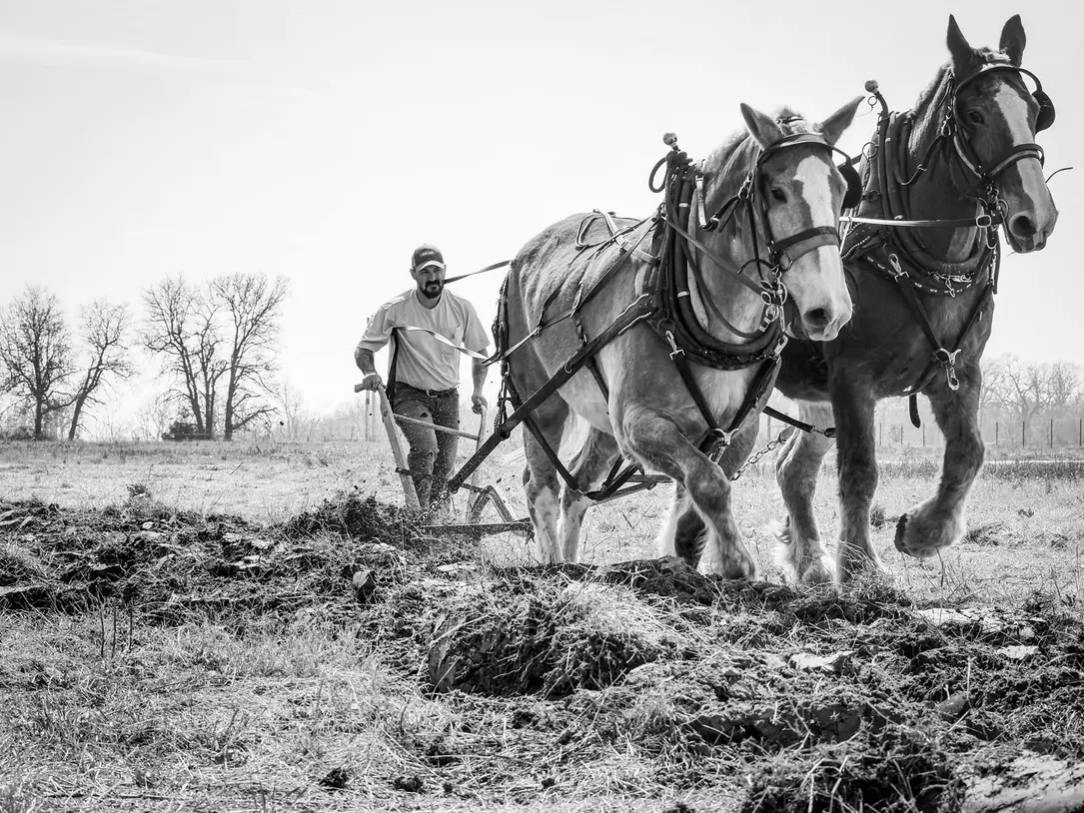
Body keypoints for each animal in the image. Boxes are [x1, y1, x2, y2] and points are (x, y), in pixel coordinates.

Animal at [496, 99, 862, 577]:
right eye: (777, 191)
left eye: (841, 189)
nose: (829, 310)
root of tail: (522, 256)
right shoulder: (638, 422)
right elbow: (708, 481)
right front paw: (738, 563)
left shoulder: (737, 430)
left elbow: (698, 494)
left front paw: (692, 554)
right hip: (541, 402)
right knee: (540, 485)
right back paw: (554, 566)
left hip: (602, 419)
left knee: (578, 486)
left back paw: (575, 564)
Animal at [662, 15, 1059, 584]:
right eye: (975, 114)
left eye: (1033, 111)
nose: (1035, 218)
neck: (915, 252)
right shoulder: (852, 377)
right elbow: (860, 471)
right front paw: (860, 565)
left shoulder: (959, 370)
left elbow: (969, 452)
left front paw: (921, 533)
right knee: (728, 462)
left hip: (812, 397)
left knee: (791, 471)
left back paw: (808, 563)